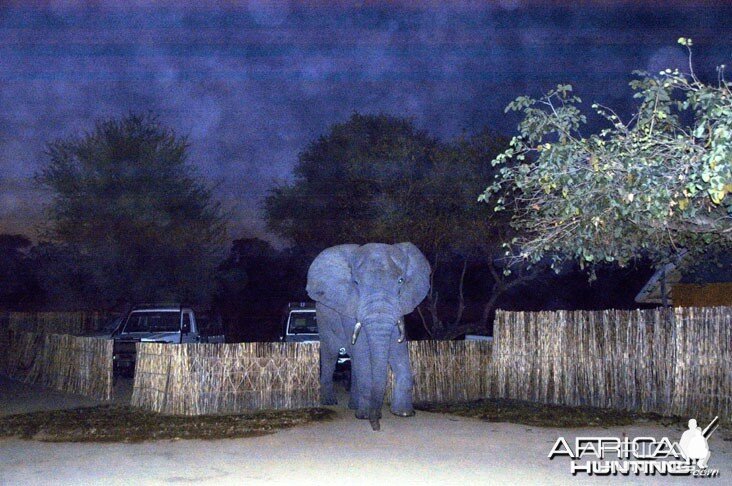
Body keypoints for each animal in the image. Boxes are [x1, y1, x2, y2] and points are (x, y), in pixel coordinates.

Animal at [306, 242, 432, 430]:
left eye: (401, 281)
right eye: (356, 283)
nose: (376, 426)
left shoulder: (400, 304)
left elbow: (398, 348)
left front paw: (404, 414)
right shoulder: (349, 305)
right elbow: (362, 350)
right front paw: (365, 416)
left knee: (352, 359)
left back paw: (353, 406)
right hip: (323, 318)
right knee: (331, 355)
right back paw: (330, 402)